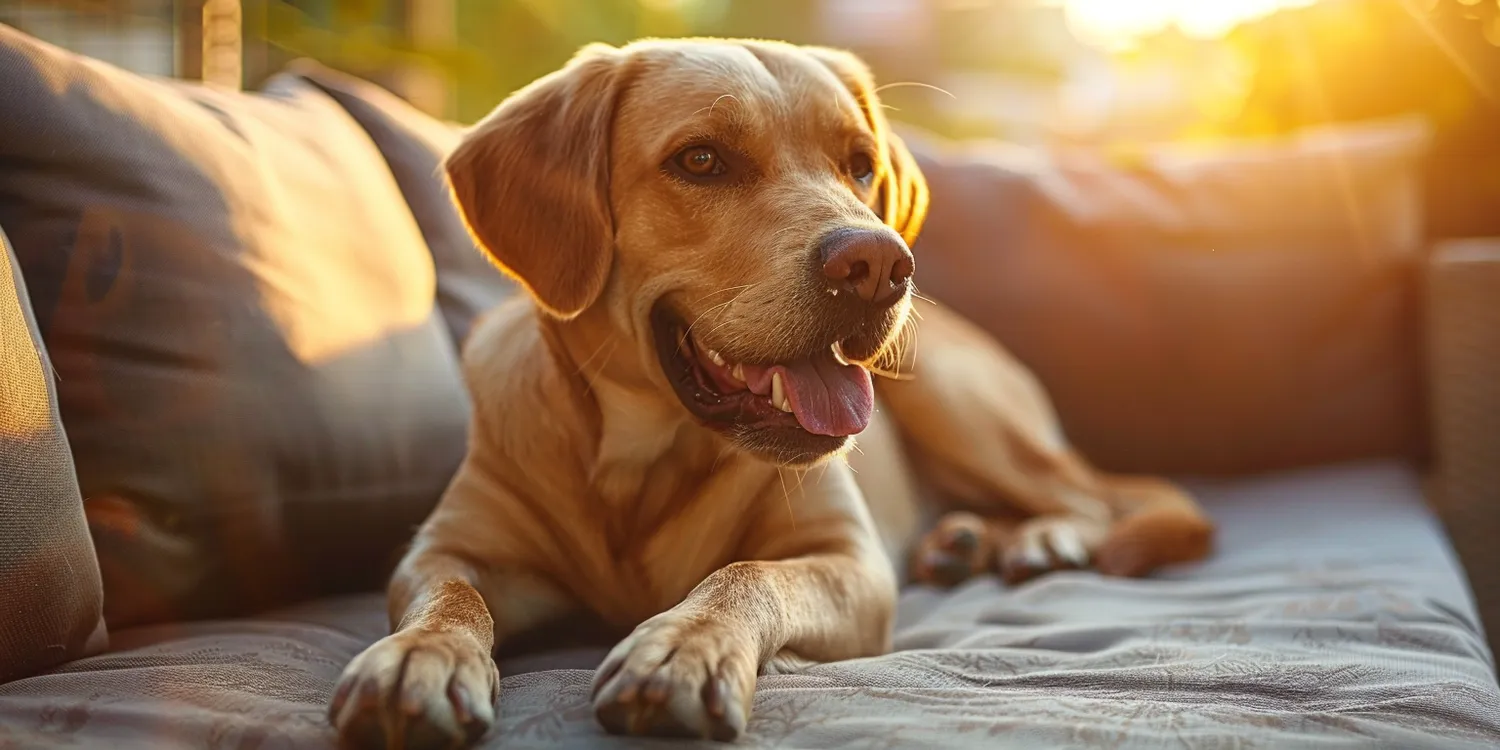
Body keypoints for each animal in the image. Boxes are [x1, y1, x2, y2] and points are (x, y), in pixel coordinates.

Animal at [328, 38, 1218, 747]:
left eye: (860, 165)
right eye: (700, 160)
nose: (879, 264)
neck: (641, 467)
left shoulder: (849, 560)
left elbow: (746, 573)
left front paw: (683, 648)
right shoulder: (449, 548)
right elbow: (450, 598)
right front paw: (418, 658)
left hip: (954, 400)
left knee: (1090, 499)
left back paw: (1039, 539)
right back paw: (963, 541)